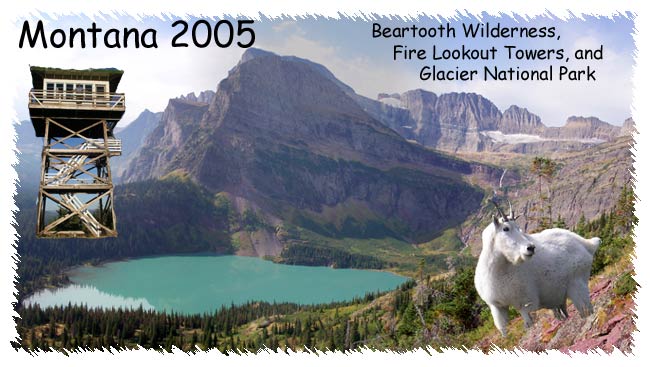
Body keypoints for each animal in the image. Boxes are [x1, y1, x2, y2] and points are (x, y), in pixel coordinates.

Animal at [470, 203, 596, 338]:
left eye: (518, 227)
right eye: (505, 228)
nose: (530, 248)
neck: (500, 269)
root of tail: (586, 244)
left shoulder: (526, 302)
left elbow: (528, 324)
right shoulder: (497, 306)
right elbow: (503, 329)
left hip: (577, 284)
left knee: (586, 308)